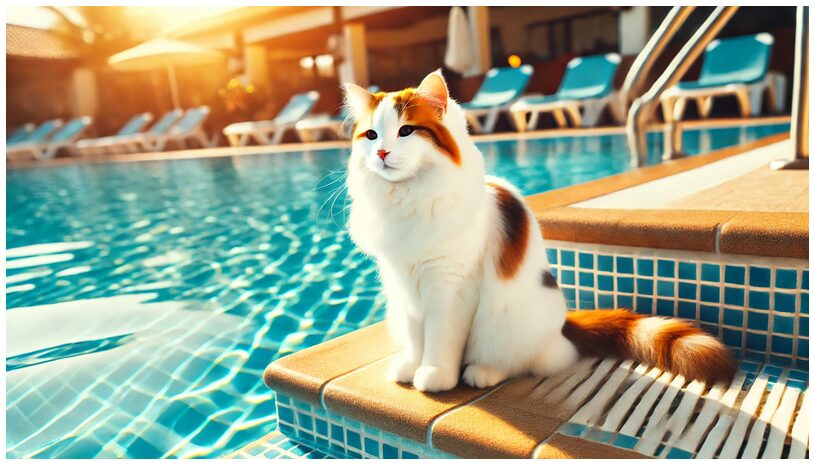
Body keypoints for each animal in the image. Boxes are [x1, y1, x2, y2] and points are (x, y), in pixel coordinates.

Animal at [342, 70, 736, 392]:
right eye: (372, 135)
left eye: (406, 131)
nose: (381, 152)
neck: (406, 197)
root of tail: (563, 329)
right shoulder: (403, 286)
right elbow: (416, 337)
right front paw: (411, 367)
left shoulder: (448, 287)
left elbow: (439, 339)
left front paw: (436, 375)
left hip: (505, 323)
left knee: (519, 363)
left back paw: (481, 373)